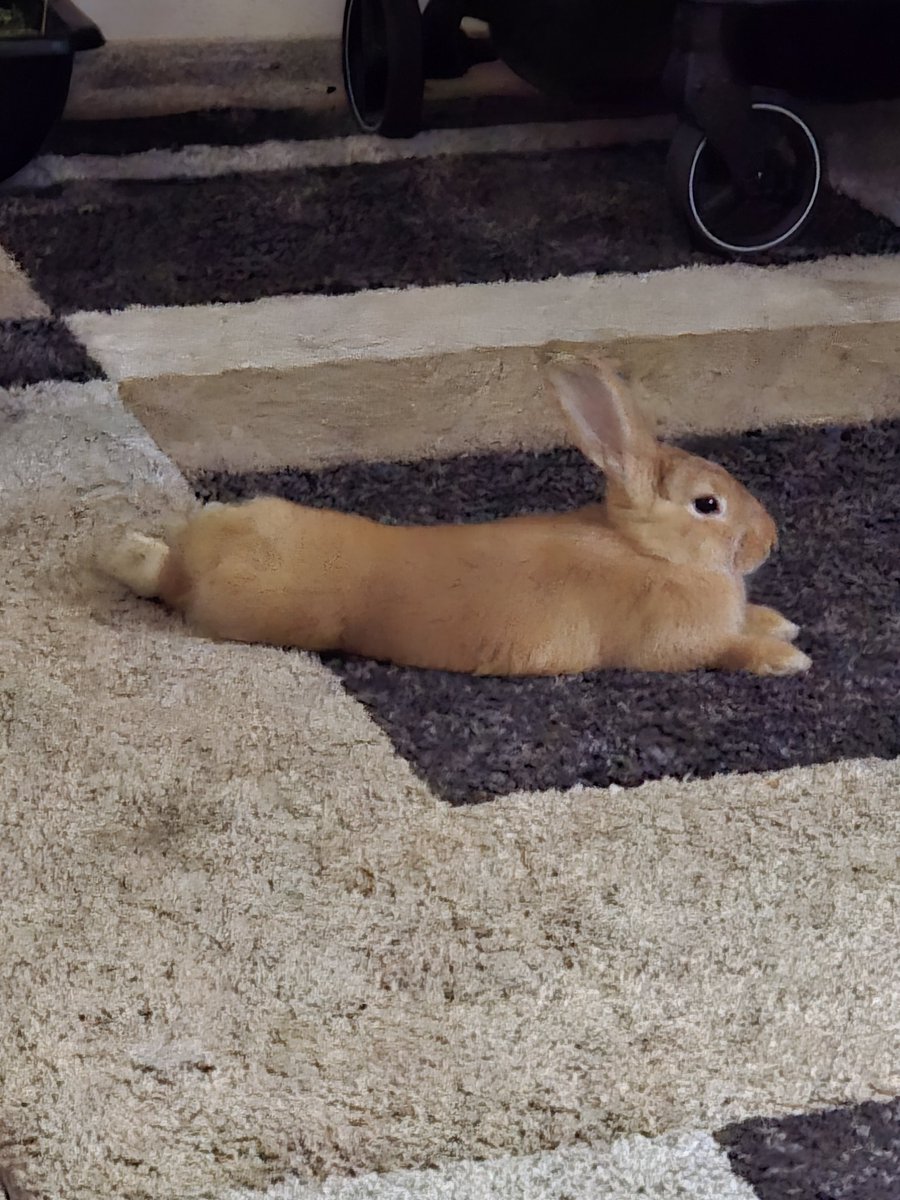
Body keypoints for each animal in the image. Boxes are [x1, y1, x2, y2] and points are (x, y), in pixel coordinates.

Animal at [102, 357, 810, 677]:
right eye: (708, 505)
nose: (770, 540)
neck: (649, 550)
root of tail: (194, 565)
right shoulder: (672, 644)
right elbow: (722, 648)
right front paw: (784, 657)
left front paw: (779, 622)